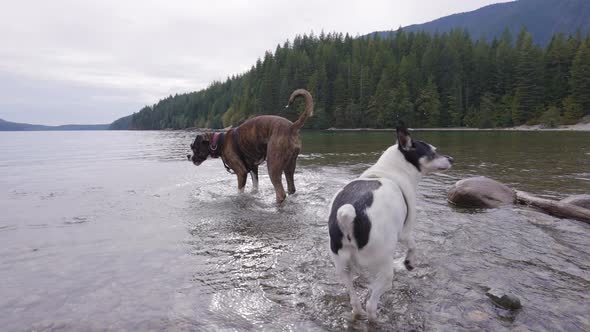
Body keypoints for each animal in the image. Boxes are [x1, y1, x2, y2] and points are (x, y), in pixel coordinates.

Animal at [330, 126, 456, 320]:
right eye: (433, 152)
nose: (451, 159)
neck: (391, 170)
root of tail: (349, 216)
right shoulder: (405, 231)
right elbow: (413, 246)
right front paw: (409, 263)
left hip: (342, 268)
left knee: (355, 301)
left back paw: (358, 312)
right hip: (383, 268)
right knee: (371, 304)